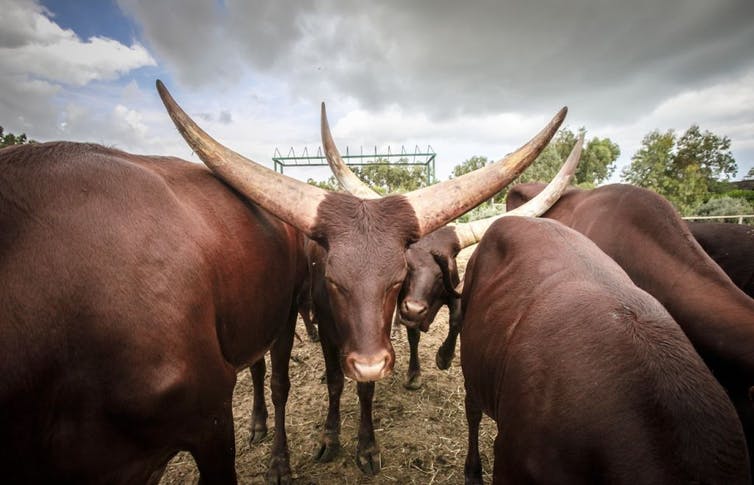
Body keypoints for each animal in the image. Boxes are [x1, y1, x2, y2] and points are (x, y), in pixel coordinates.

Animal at [154, 80, 564, 472]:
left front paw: (367, 446)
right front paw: (330, 436)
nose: (370, 363)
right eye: (333, 281)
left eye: (397, 279)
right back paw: (258, 421)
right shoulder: (329, 329)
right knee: (260, 366)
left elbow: (368, 388)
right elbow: (336, 380)